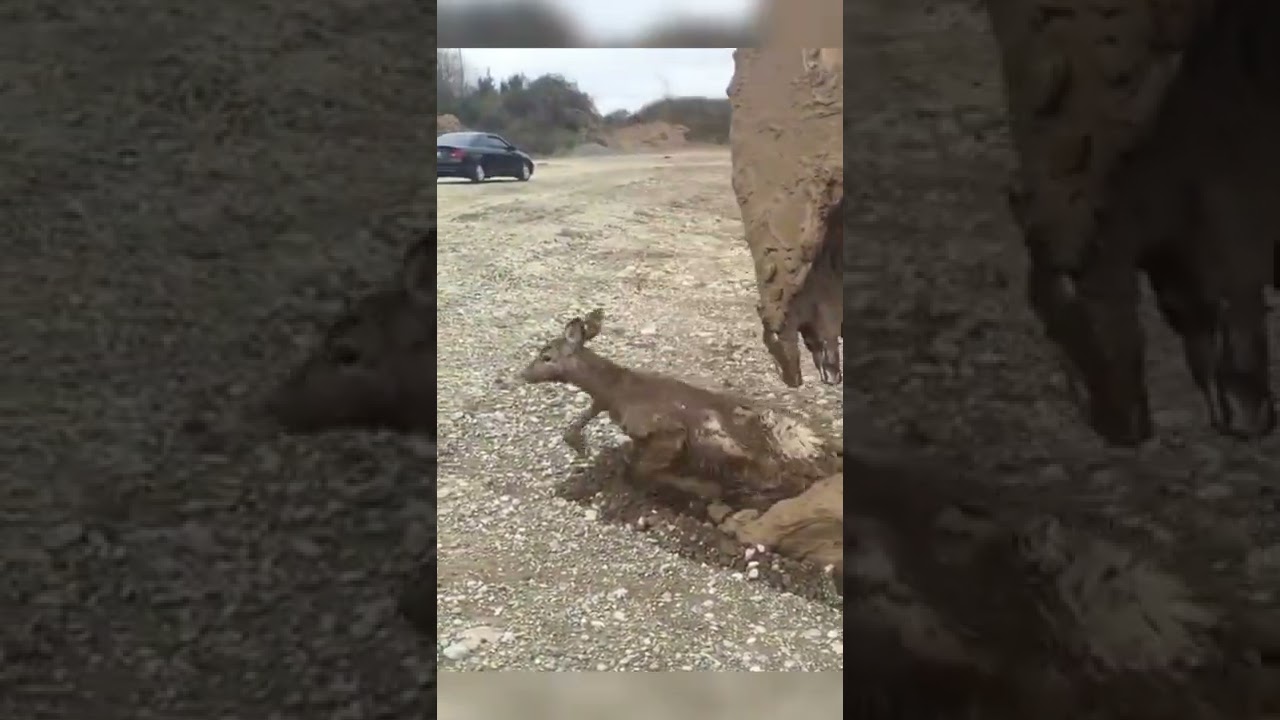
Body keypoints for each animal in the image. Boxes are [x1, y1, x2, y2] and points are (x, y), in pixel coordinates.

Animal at [519, 309, 841, 510]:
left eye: (546, 355)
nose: (522, 373)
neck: (617, 393)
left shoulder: (666, 431)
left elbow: (642, 469)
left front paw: (701, 489)